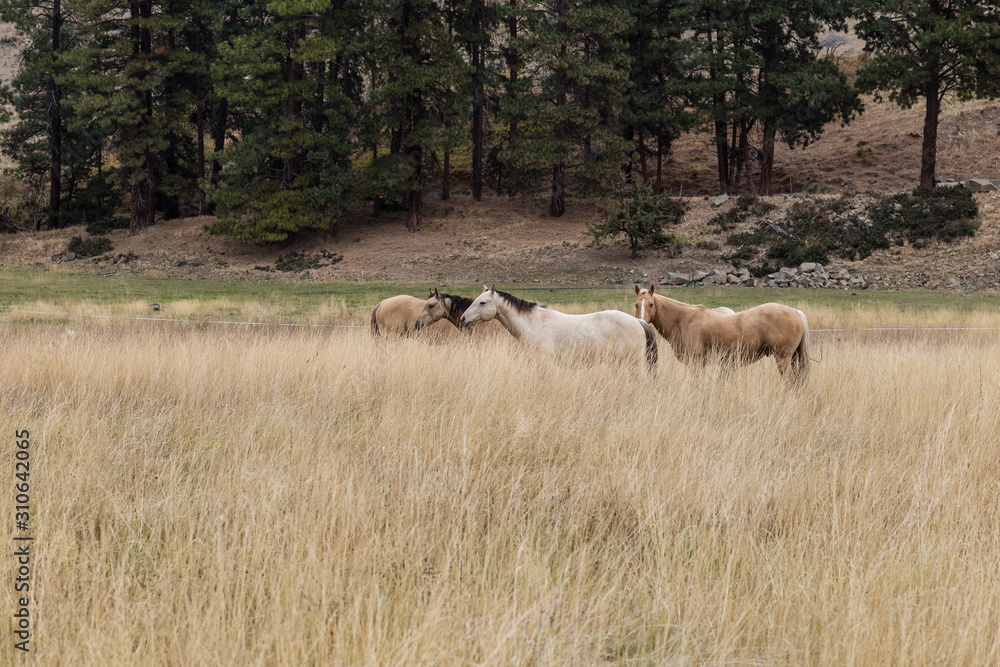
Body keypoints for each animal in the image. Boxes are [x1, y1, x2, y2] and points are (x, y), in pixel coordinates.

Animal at [636, 284, 808, 384]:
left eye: (651, 304)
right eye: (637, 304)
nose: (641, 321)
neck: (683, 318)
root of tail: (796, 311)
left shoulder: (696, 363)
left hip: (782, 359)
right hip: (792, 359)